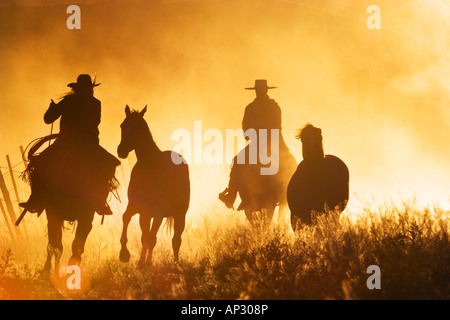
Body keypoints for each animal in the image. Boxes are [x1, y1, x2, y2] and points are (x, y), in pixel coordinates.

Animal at [117, 104, 189, 264]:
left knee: (176, 239)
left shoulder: (158, 212)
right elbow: (126, 218)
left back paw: (175, 263)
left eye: (138, 127)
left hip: (179, 214)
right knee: (147, 236)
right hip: (146, 215)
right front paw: (125, 254)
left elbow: (152, 239)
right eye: (122, 125)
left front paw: (146, 262)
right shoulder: (137, 206)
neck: (149, 168)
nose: (121, 151)